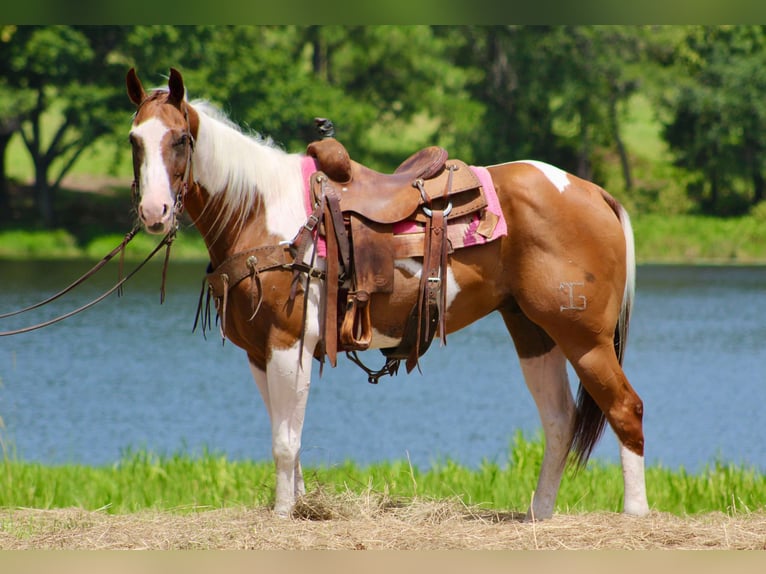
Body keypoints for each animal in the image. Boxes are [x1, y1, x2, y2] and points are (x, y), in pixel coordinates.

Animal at [125, 67, 649, 520]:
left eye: (181, 139)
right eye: (134, 140)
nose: (154, 211)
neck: (260, 210)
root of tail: (593, 192)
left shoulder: (289, 343)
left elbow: (285, 442)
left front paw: (283, 515)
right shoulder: (259, 351)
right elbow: (287, 434)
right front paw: (298, 507)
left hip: (584, 338)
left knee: (626, 409)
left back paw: (635, 514)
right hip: (533, 331)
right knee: (559, 420)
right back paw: (539, 514)